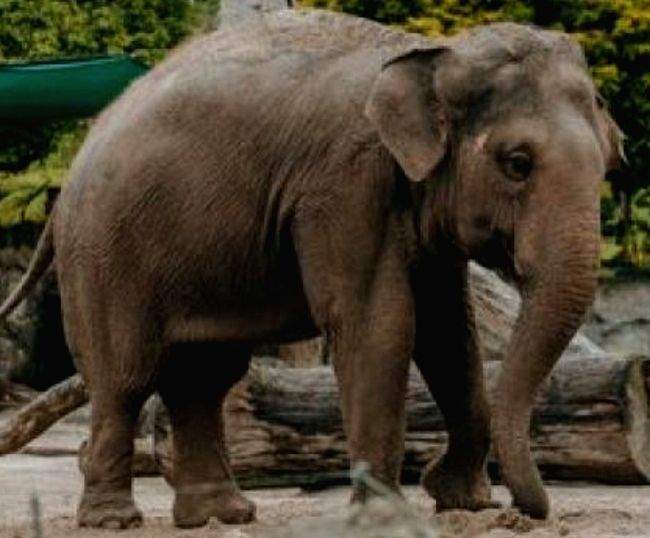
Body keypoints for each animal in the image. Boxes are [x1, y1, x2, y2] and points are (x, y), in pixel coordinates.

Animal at [0, 8, 623, 530]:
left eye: (607, 164)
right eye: (517, 164)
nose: (527, 512)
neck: (431, 56)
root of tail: (72, 169)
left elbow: (449, 332)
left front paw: (463, 502)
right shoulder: (342, 185)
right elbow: (380, 324)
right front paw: (387, 516)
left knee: (203, 376)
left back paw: (221, 515)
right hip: (104, 253)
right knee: (125, 378)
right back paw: (116, 521)